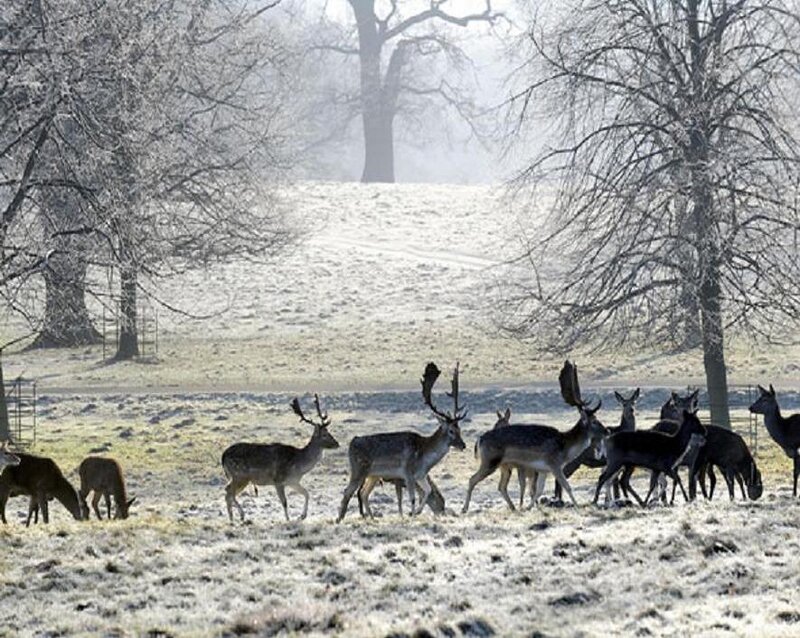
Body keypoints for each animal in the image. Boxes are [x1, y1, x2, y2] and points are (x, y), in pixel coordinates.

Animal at [222, 394, 339, 522]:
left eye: (328, 432)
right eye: (324, 434)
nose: (337, 443)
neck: (298, 465)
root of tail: (223, 456)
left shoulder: (293, 481)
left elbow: (306, 493)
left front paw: (302, 516)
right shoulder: (278, 480)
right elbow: (284, 502)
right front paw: (288, 519)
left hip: (240, 478)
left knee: (228, 492)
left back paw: (232, 518)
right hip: (240, 475)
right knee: (229, 492)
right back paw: (241, 515)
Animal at [337, 362, 467, 523]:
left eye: (459, 428)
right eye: (451, 431)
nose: (463, 445)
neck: (424, 457)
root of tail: (351, 443)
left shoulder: (420, 476)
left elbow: (427, 491)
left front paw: (415, 512)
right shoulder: (407, 473)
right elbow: (412, 498)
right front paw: (412, 515)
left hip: (373, 475)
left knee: (363, 493)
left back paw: (371, 518)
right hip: (358, 469)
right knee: (347, 491)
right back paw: (339, 519)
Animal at [462, 360, 607, 512]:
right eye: (594, 421)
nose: (607, 431)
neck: (565, 447)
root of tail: (479, 440)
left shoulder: (543, 469)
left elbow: (539, 490)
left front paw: (528, 507)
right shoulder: (554, 464)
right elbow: (567, 486)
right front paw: (578, 507)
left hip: (504, 466)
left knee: (500, 486)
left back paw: (513, 507)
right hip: (490, 461)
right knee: (472, 479)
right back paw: (464, 508)